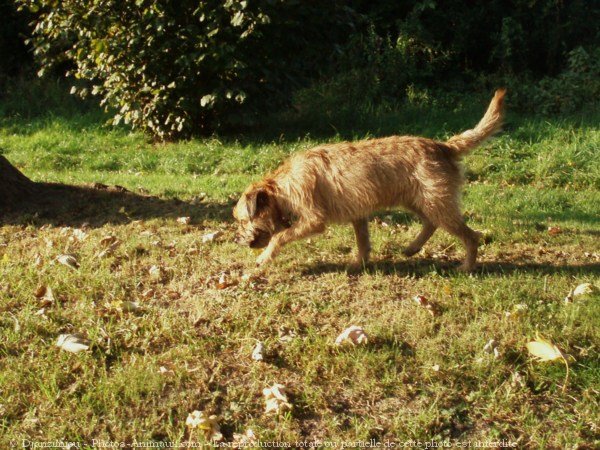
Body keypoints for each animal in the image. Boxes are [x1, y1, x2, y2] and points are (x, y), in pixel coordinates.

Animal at [232, 89, 504, 268]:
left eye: (243, 221)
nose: (239, 240)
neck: (283, 187)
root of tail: (442, 146)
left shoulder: (313, 219)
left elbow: (279, 236)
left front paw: (263, 258)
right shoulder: (358, 215)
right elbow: (362, 241)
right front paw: (359, 264)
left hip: (437, 203)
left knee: (471, 236)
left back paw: (467, 267)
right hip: (419, 201)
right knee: (431, 223)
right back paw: (412, 248)